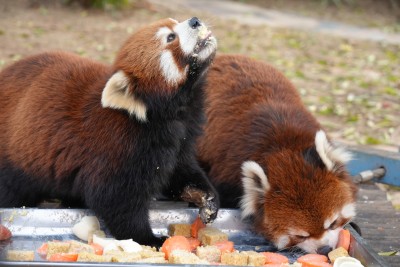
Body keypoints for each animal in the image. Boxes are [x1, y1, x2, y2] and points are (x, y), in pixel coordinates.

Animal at [0, 16, 219, 247]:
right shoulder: (118, 148)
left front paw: (207, 199)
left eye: (175, 21)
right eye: (170, 37)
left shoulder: (179, 143)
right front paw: (150, 240)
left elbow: (181, 173)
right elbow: (115, 200)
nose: (194, 21)